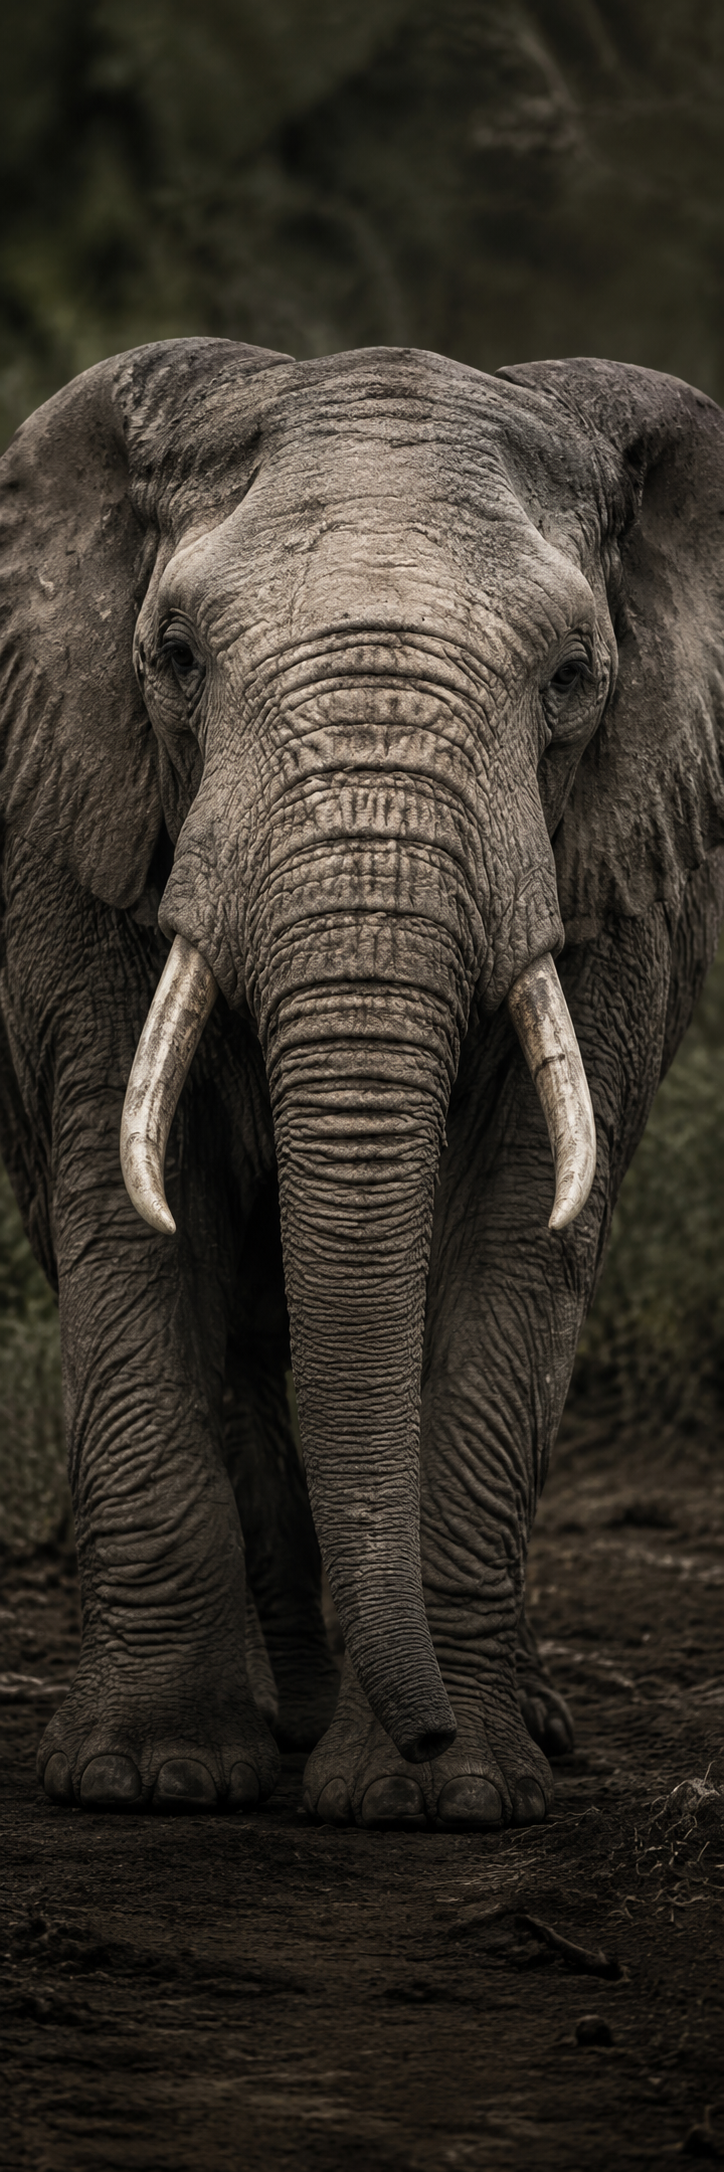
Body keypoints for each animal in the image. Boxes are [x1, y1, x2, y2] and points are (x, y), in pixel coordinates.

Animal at [1, 337, 723, 1829]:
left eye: (575, 676)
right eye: (173, 658)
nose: (433, 1735)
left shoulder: (616, 868)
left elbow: (522, 1223)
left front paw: (441, 1801)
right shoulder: (72, 834)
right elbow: (124, 1199)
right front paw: (153, 1781)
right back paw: (279, 1720)